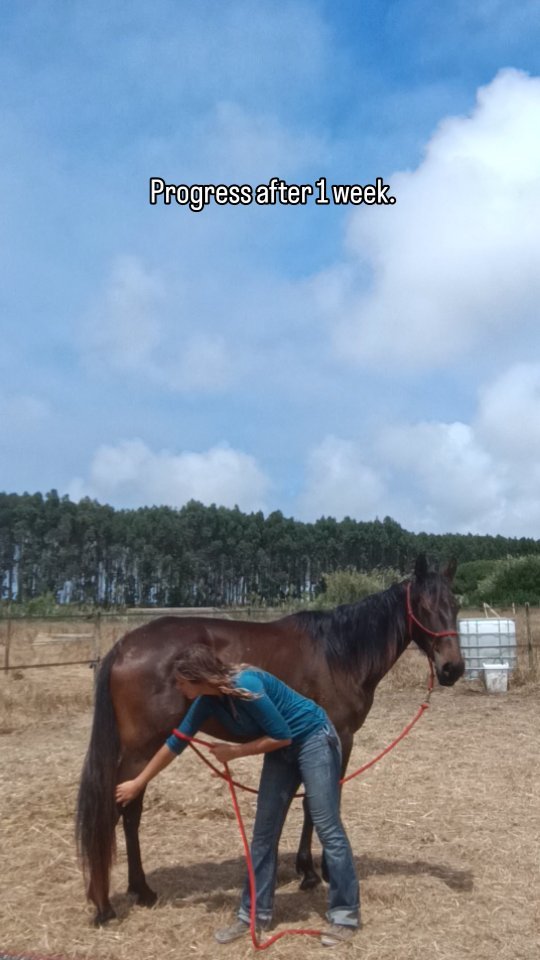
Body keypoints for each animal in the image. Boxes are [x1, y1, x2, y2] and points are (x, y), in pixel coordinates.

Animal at [76, 554, 464, 926]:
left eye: (455, 604)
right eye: (424, 605)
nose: (453, 668)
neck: (339, 653)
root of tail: (125, 646)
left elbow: (305, 801)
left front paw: (306, 868)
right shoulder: (340, 736)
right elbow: (324, 800)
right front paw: (319, 871)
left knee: (128, 810)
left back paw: (139, 890)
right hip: (141, 750)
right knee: (120, 809)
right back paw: (108, 903)